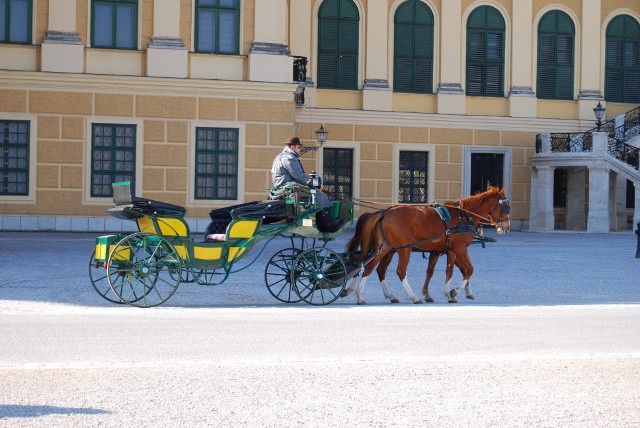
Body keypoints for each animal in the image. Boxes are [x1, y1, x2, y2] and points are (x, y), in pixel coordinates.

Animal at [344, 187, 510, 304]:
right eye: (506, 207)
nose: (506, 227)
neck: (463, 216)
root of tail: (385, 213)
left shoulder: (446, 250)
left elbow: (448, 271)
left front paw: (461, 292)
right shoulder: (459, 249)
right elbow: (465, 270)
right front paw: (453, 292)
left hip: (385, 248)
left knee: (370, 268)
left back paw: (362, 295)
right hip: (404, 249)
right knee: (399, 271)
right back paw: (413, 297)